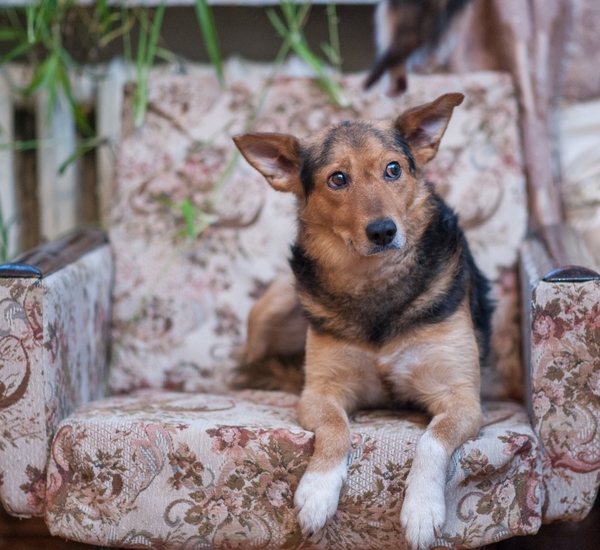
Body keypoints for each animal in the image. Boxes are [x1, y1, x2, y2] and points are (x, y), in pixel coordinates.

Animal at [233, 92, 492, 548]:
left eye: (394, 169)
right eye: (338, 179)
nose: (383, 231)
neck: (375, 282)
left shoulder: (461, 398)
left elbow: (431, 440)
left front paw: (422, 509)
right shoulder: (320, 392)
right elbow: (337, 430)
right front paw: (318, 492)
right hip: (278, 300)